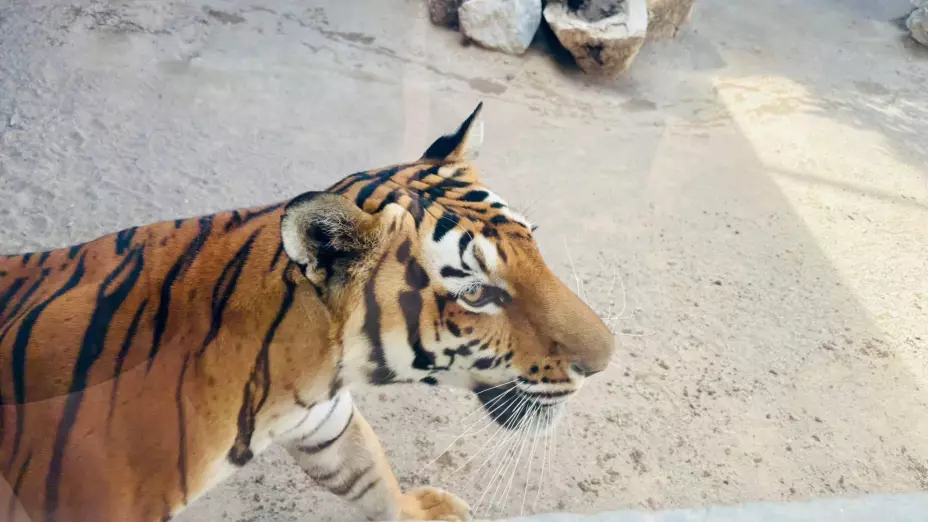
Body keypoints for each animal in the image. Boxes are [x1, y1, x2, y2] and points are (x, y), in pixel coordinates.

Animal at [0, 103, 615, 522]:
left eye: (533, 243)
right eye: (476, 293)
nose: (606, 361)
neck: (312, 368)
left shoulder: (327, 423)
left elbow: (371, 477)